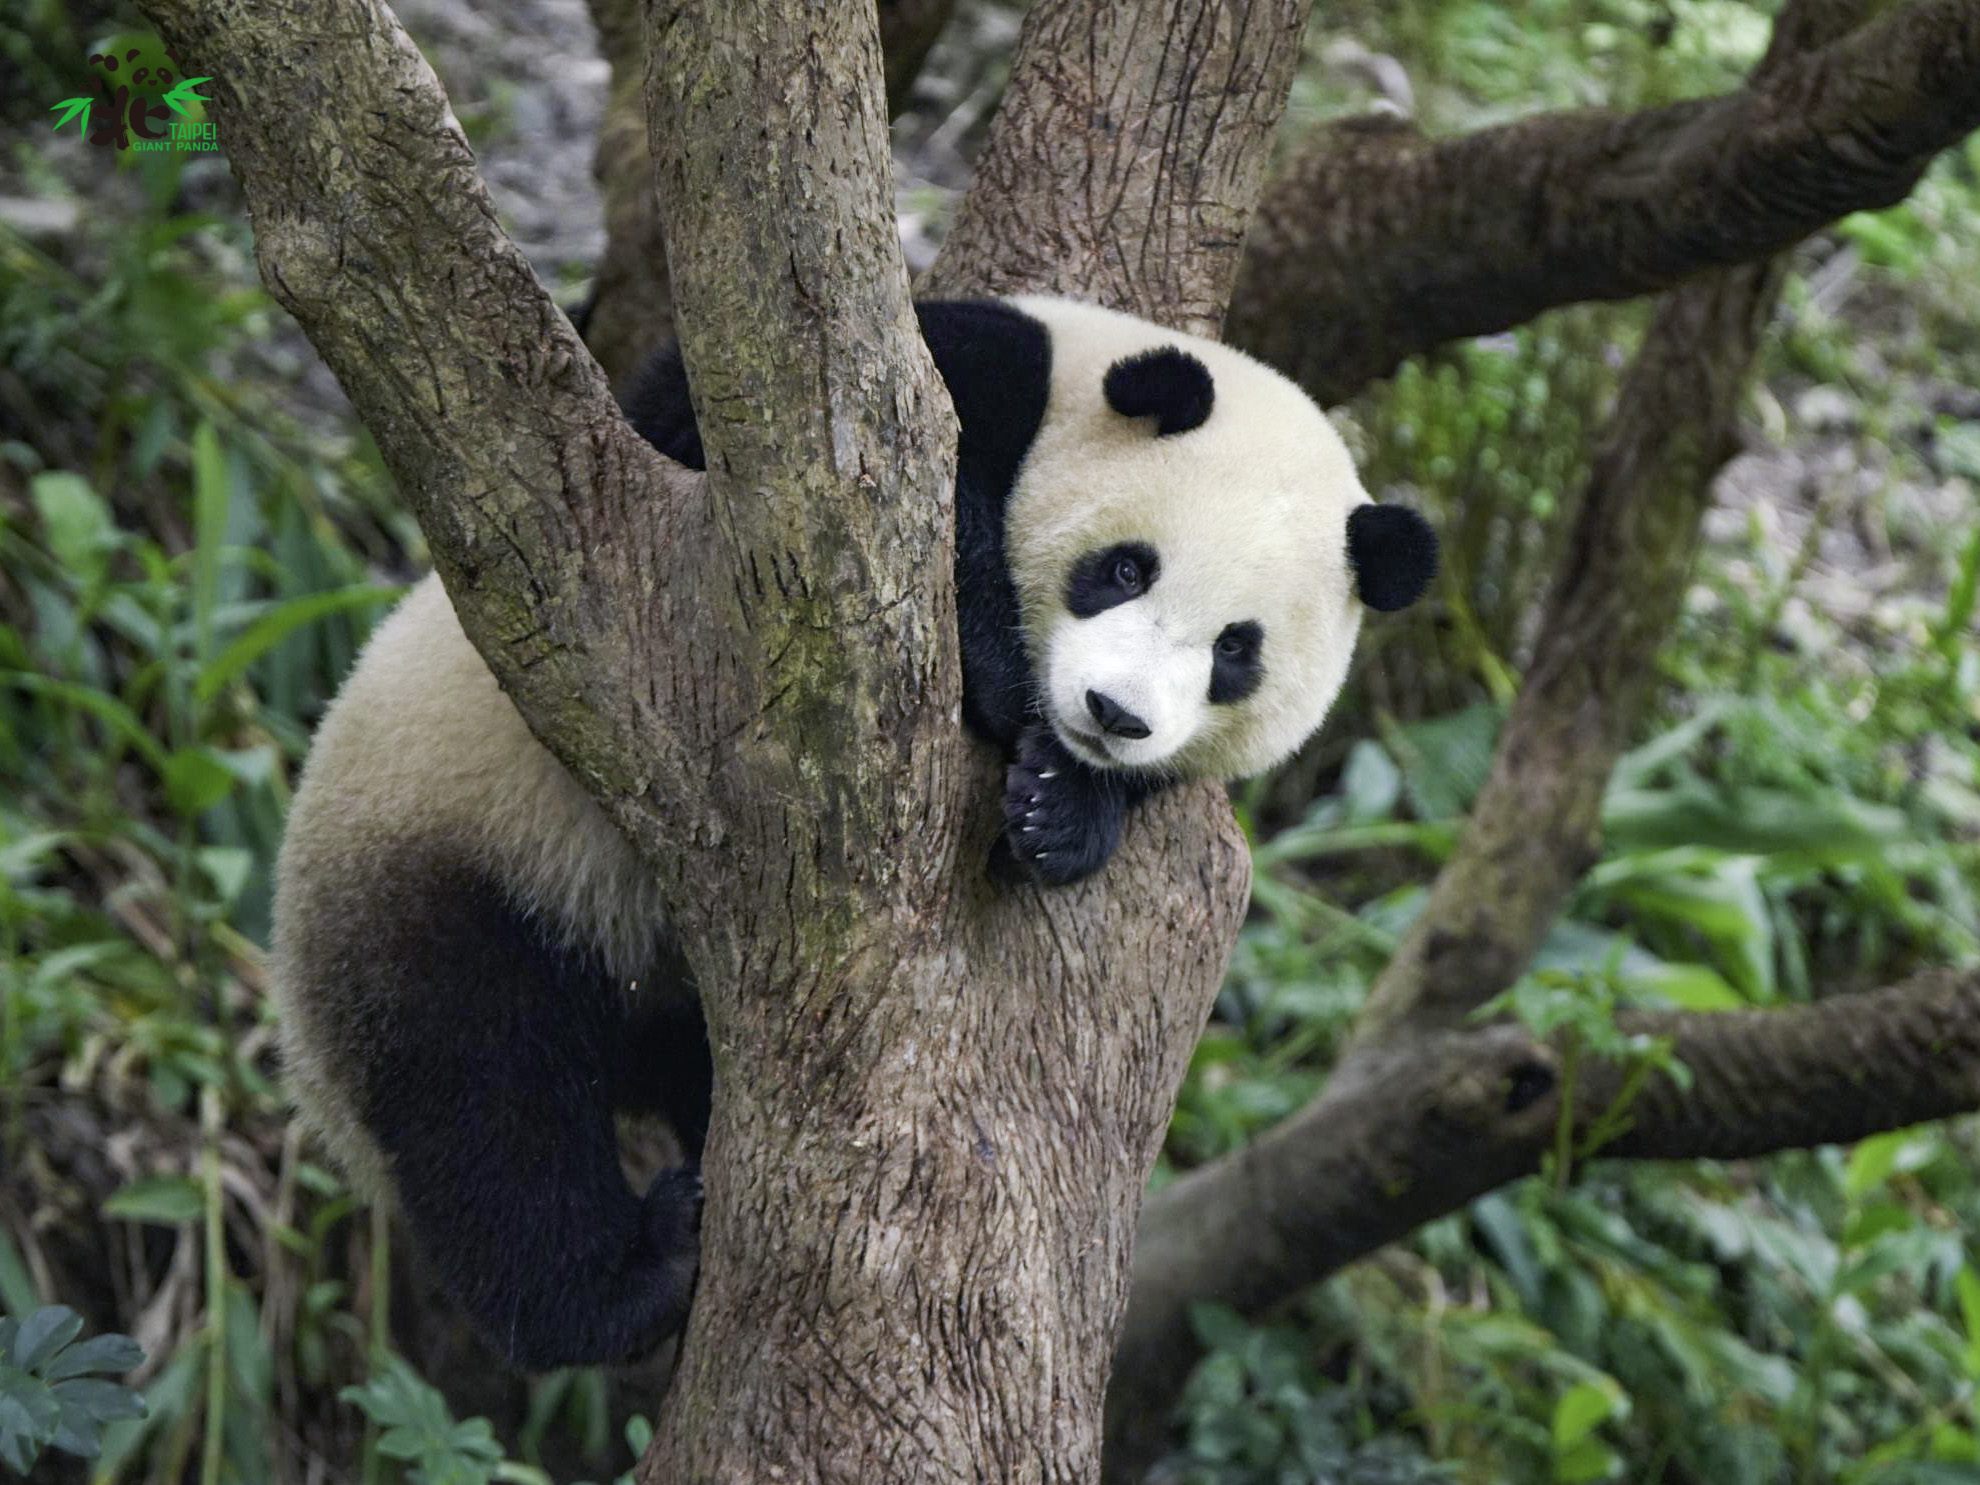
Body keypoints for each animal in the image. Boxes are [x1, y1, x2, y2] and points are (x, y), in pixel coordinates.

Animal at [267, 297, 1441, 1378]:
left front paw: (1066, 809)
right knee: (485, 1097)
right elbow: (747, 462)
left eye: (1237, 651)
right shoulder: (939, 381)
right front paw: (1004, 686)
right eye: (1124, 569)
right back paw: (628, 1279)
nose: (1112, 712)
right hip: (459, 862)